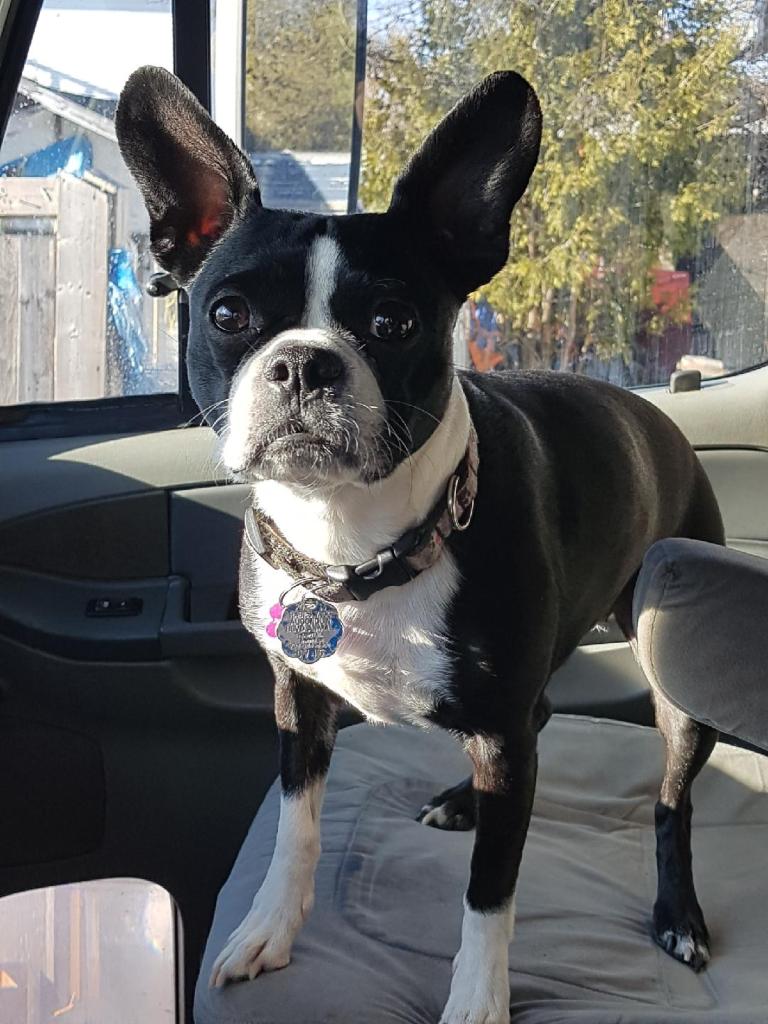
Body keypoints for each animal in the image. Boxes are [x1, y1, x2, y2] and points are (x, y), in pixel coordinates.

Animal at [116, 66, 725, 1024]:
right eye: (229, 312)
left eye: (394, 322)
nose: (305, 362)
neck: (356, 547)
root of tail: (665, 415)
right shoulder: (299, 703)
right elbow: (297, 826)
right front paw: (270, 928)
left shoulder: (502, 742)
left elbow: (490, 892)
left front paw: (476, 999)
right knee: (542, 719)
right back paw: (461, 802)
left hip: (677, 671)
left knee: (671, 796)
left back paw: (678, 914)